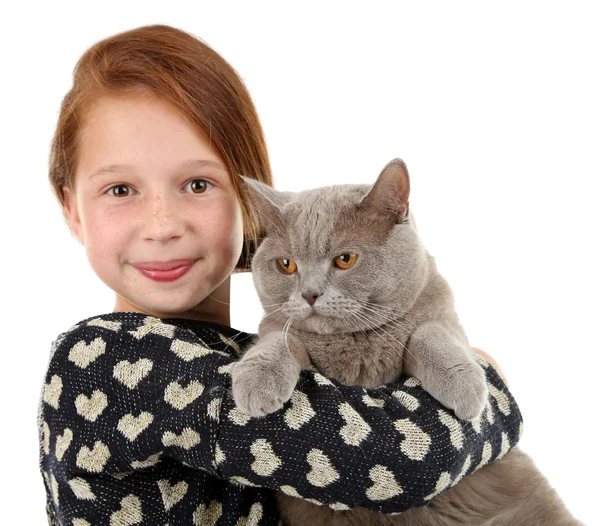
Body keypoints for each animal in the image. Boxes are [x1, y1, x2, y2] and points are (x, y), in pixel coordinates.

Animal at [231, 161, 580, 526]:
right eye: (286, 265)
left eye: (345, 259)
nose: (309, 294)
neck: (358, 344)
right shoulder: (276, 327)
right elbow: (278, 340)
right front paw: (256, 381)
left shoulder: (444, 317)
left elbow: (429, 334)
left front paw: (464, 387)